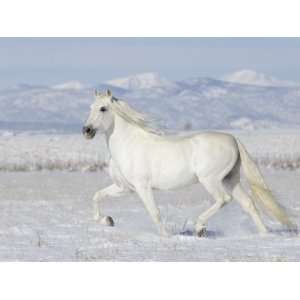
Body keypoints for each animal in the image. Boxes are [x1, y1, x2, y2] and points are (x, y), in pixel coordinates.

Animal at [82, 89, 296, 237]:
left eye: (103, 108)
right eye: (90, 108)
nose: (86, 130)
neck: (129, 144)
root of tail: (233, 139)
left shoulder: (142, 187)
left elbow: (154, 212)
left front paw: (166, 237)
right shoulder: (124, 187)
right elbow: (97, 196)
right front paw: (107, 220)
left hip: (210, 180)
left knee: (224, 199)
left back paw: (200, 227)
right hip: (230, 179)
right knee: (249, 204)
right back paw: (264, 235)